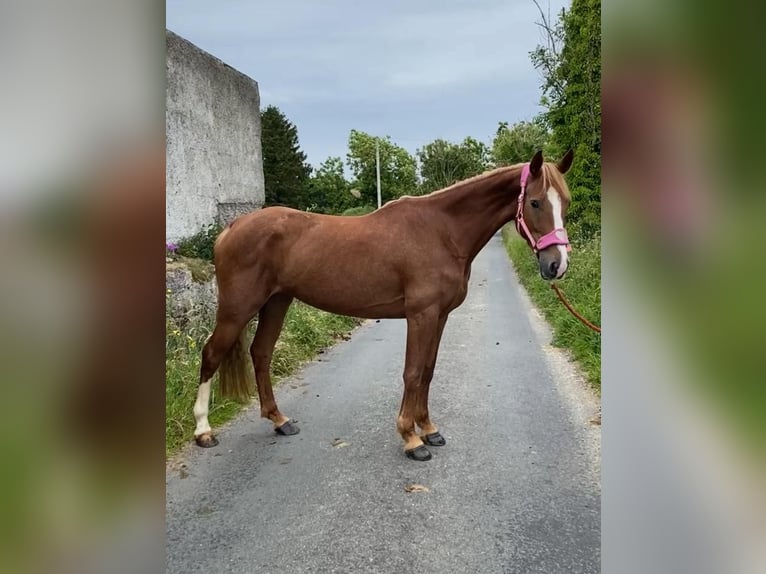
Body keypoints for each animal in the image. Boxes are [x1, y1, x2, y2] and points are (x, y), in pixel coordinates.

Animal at [195, 150, 572, 464]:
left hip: (277, 302)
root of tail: (231, 228)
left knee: (260, 353)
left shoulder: (440, 315)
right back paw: (204, 431)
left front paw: (429, 429)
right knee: (212, 353)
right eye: (535, 202)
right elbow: (412, 372)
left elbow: (428, 371)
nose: (557, 264)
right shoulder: (421, 314)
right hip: (238, 308)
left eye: (565, 202)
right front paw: (411, 438)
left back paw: (280, 421)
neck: (442, 231)